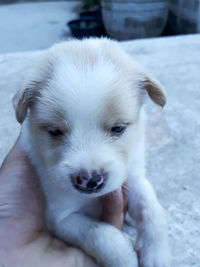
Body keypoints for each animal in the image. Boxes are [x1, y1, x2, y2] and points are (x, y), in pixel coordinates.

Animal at [12, 38, 169, 267]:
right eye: (55, 131)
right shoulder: (61, 217)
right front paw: (124, 256)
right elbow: (99, 233)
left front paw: (157, 253)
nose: (89, 181)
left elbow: (153, 210)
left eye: (118, 128)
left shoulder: (133, 178)